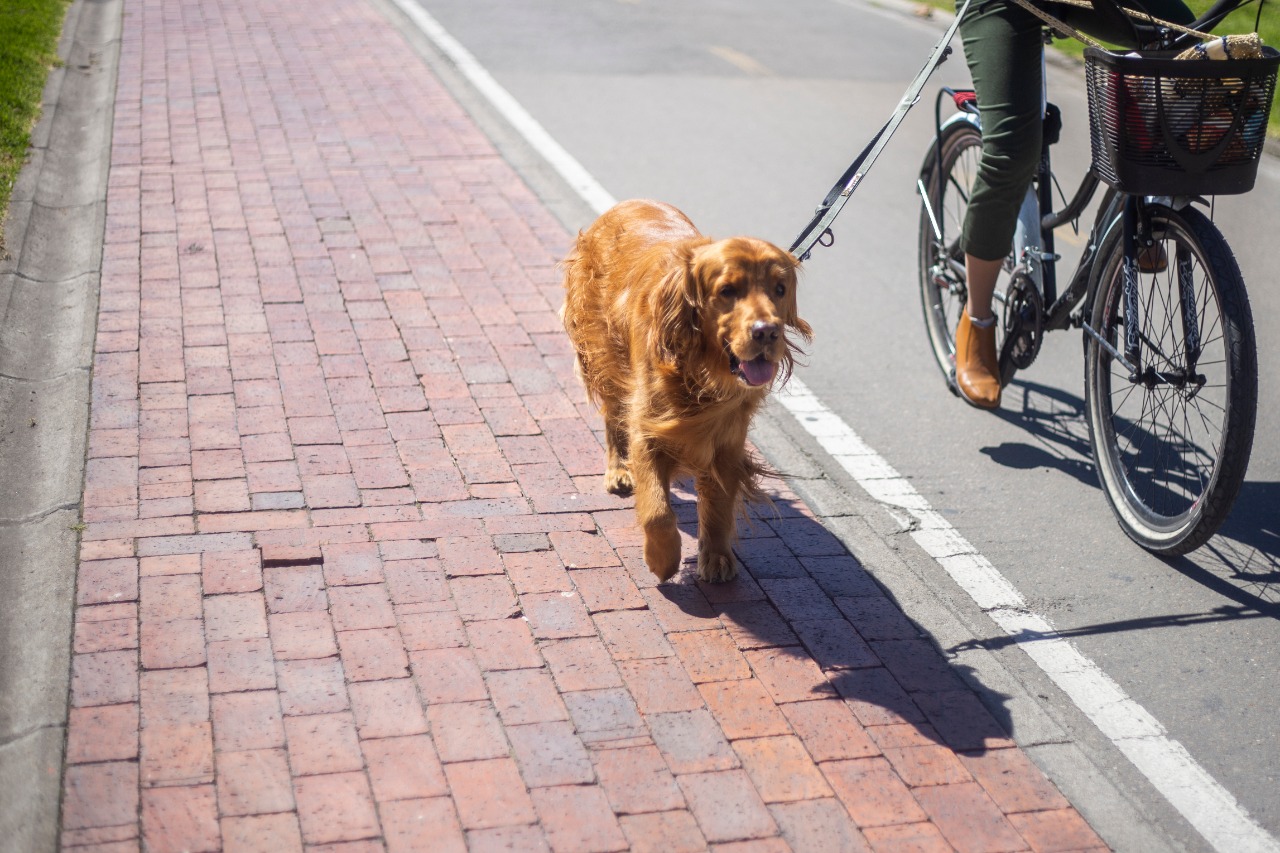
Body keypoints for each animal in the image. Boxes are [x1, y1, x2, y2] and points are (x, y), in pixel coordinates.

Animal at [560, 199, 808, 584]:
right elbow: (657, 510)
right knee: (613, 416)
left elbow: (719, 503)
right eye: (727, 290)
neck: (701, 370)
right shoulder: (648, 425)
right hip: (604, 353)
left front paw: (717, 556)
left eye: (779, 289)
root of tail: (629, 202)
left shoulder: (726, 437)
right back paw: (618, 469)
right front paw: (662, 559)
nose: (767, 332)